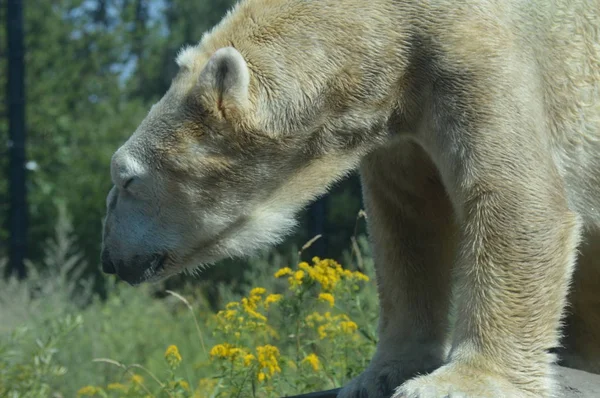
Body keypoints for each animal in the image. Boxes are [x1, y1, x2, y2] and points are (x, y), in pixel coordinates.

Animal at [101, 0, 600, 396]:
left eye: (126, 179)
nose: (107, 257)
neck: (390, 25)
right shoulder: (402, 117)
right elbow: (408, 221)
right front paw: (379, 375)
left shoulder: (474, 56)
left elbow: (513, 199)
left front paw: (459, 381)